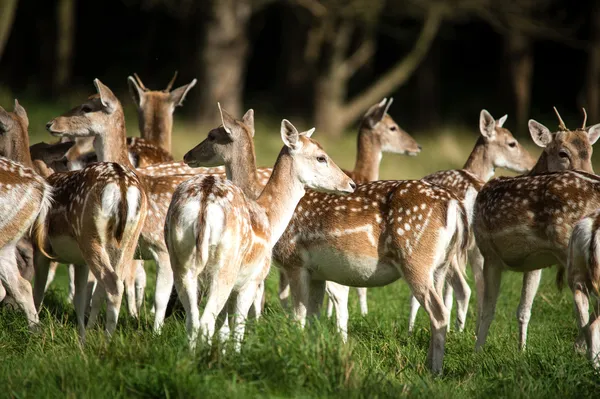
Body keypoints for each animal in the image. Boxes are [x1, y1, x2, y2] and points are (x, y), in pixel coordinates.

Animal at [165, 115, 356, 350]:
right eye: (321, 157)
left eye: (212, 136)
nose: (351, 184)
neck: (270, 218)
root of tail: (204, 200)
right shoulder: (254, 278)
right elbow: (238, 326)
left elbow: (226, 327)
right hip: (225, 267)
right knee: (206, 320)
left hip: (180, 259)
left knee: (192, 320)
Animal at [474, 108, 600, 354]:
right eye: (563, 153)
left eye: (590, 152)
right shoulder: (535, 262)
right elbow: (524, 309)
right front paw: (521, 350)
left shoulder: (490, 253)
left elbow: (488, 309)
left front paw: (478, 351)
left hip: (570, 249)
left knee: (583, 301)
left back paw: (582, 348)